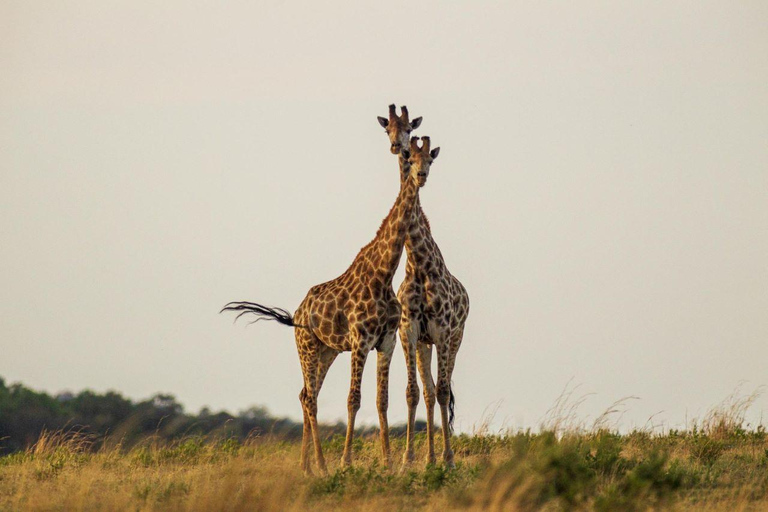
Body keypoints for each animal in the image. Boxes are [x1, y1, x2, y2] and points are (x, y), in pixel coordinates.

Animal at [222, 118, 438, 474]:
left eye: (426, 156)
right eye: (408, 152)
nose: (419, 174)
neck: (383, 273)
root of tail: (296, 314)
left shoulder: (386, 340)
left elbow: (381, 399)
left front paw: (388, 461)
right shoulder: (360, 339)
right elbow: (354, 399)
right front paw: (347, 461)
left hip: (327, 351)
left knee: (304, 395)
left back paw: (308, 466)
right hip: (307, 347)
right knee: (310, 398)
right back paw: (321, 466)